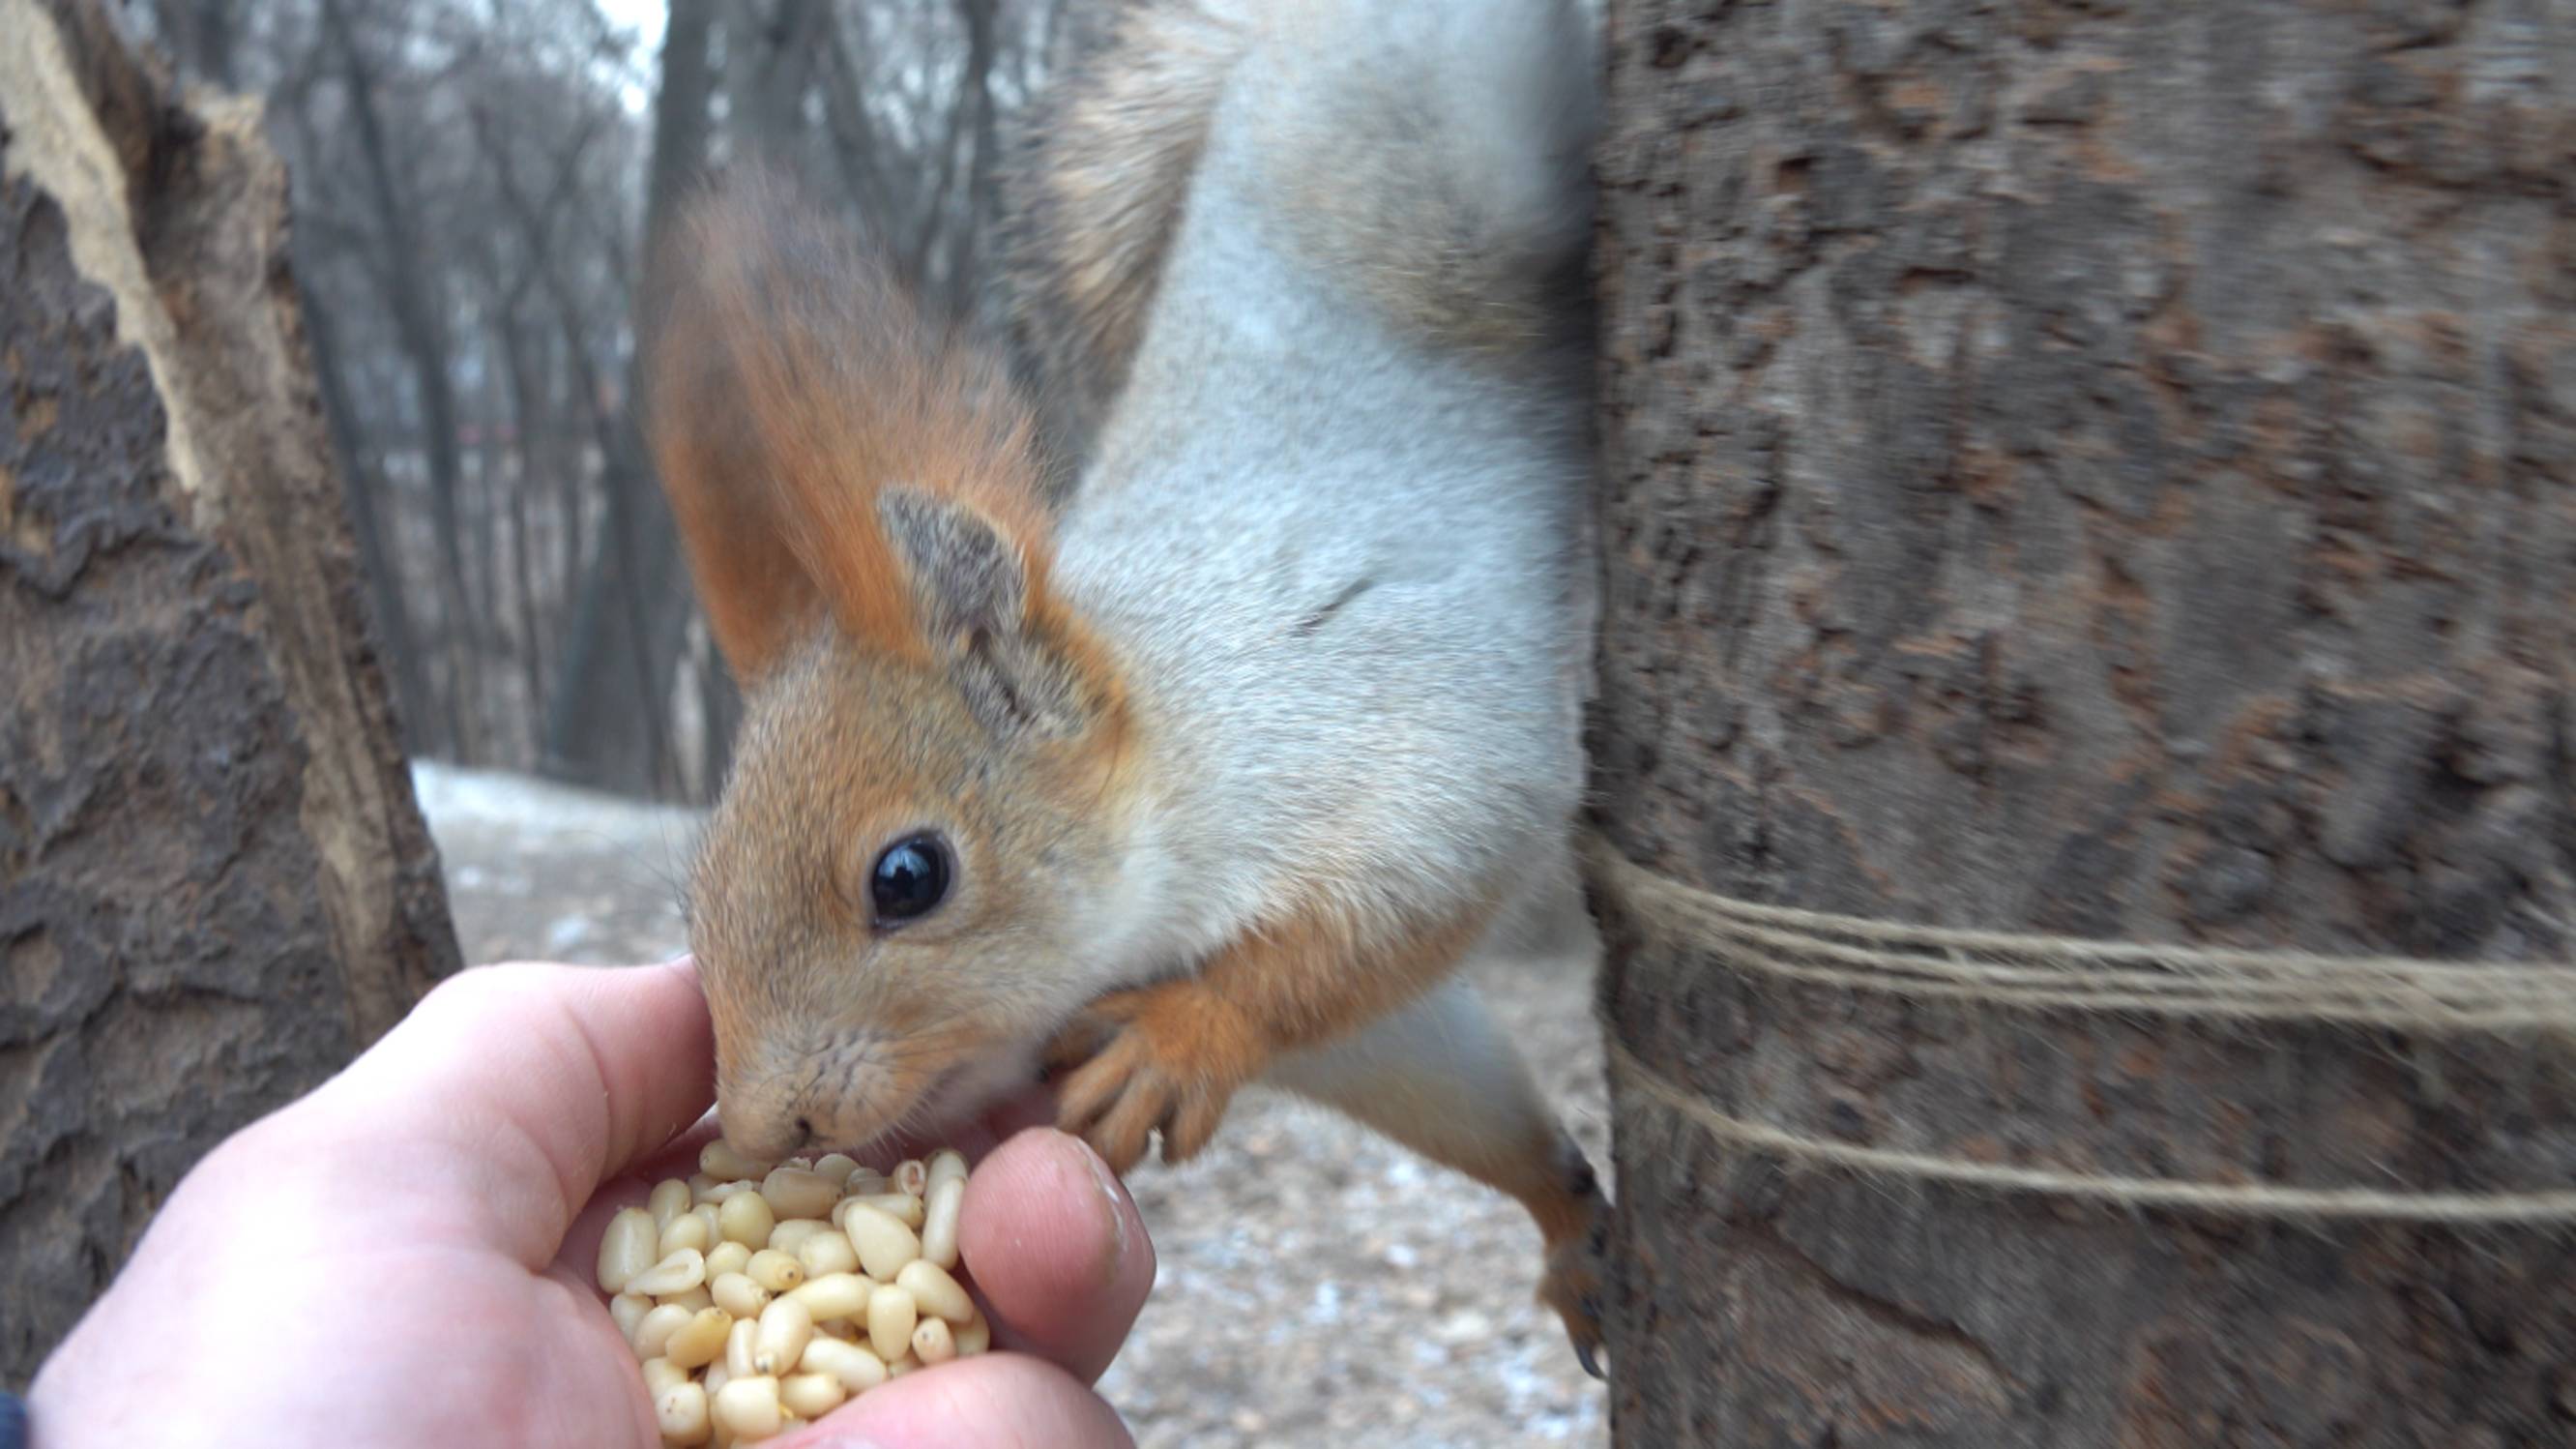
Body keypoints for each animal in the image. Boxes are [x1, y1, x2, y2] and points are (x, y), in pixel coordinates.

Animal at [644, 0, 1607, 1372]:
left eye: (908, 877)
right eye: (702, 887)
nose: (771, 1128)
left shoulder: (1388, 719)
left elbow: (1421, 872)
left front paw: (1182, 1037)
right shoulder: (1373, 1042)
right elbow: (1444, 1072)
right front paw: (1566, 1211)